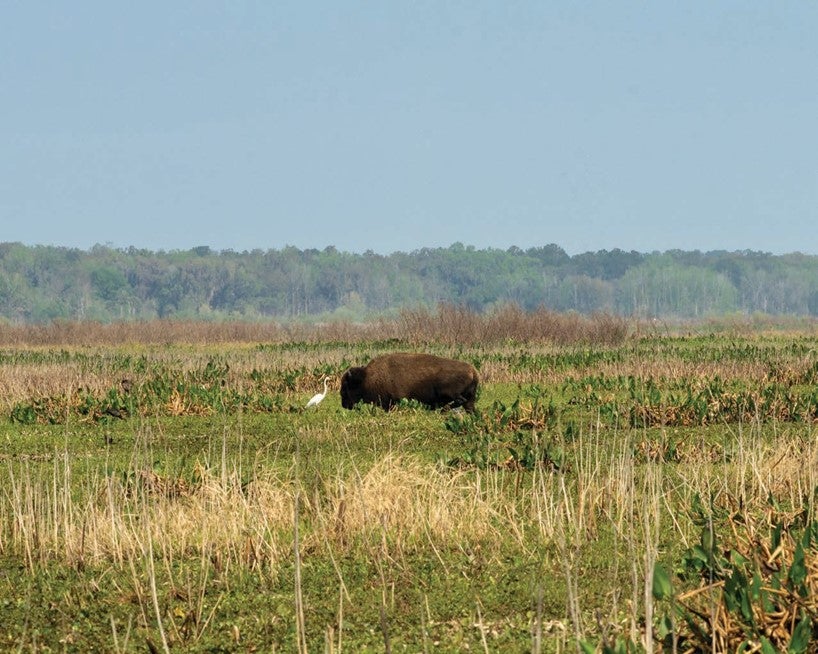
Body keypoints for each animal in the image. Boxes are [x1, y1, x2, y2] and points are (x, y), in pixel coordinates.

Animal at [340, 356, 478, 412]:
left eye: (346, 386)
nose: (344, 405)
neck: (366, 377)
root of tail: (473, 371)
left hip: (451, 393)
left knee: (458, 401)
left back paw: (442, 410)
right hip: (470, 399)